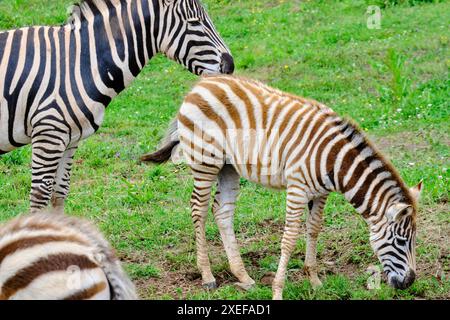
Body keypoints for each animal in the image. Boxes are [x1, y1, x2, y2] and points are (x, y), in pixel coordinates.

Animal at [0, 0, 234, 215]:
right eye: (194, 23)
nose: (230, 66)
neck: (81, 62)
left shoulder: (70, 138)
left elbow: (59, 193)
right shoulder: (48, 134)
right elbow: (39, 198)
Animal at [143, 75, 422, 300]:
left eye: (413, 241)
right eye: (400, 241)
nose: (410, 283)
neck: (334, 161)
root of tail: (200, 85)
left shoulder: (321, 193)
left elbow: (314, 229)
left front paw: (314, 281)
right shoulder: (297, 188)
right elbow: (288, 239)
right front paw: (278, 290)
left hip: (228, 167)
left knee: (222, 211)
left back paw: (243, 277)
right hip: (205, 161)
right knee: (198, 210)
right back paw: (208, 276)